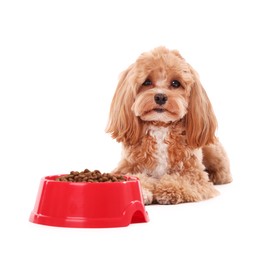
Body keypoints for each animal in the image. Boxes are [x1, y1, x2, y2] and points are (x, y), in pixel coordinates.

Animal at [105, 46, 232, 205]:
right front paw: (142, 191)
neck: (161, 127)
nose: (160, 97)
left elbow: (183, 180)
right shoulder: (126, 167)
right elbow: (137, 177)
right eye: (147, 82)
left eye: (175, 83)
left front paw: (169, 189)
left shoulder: (195, 174)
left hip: (213, 151)